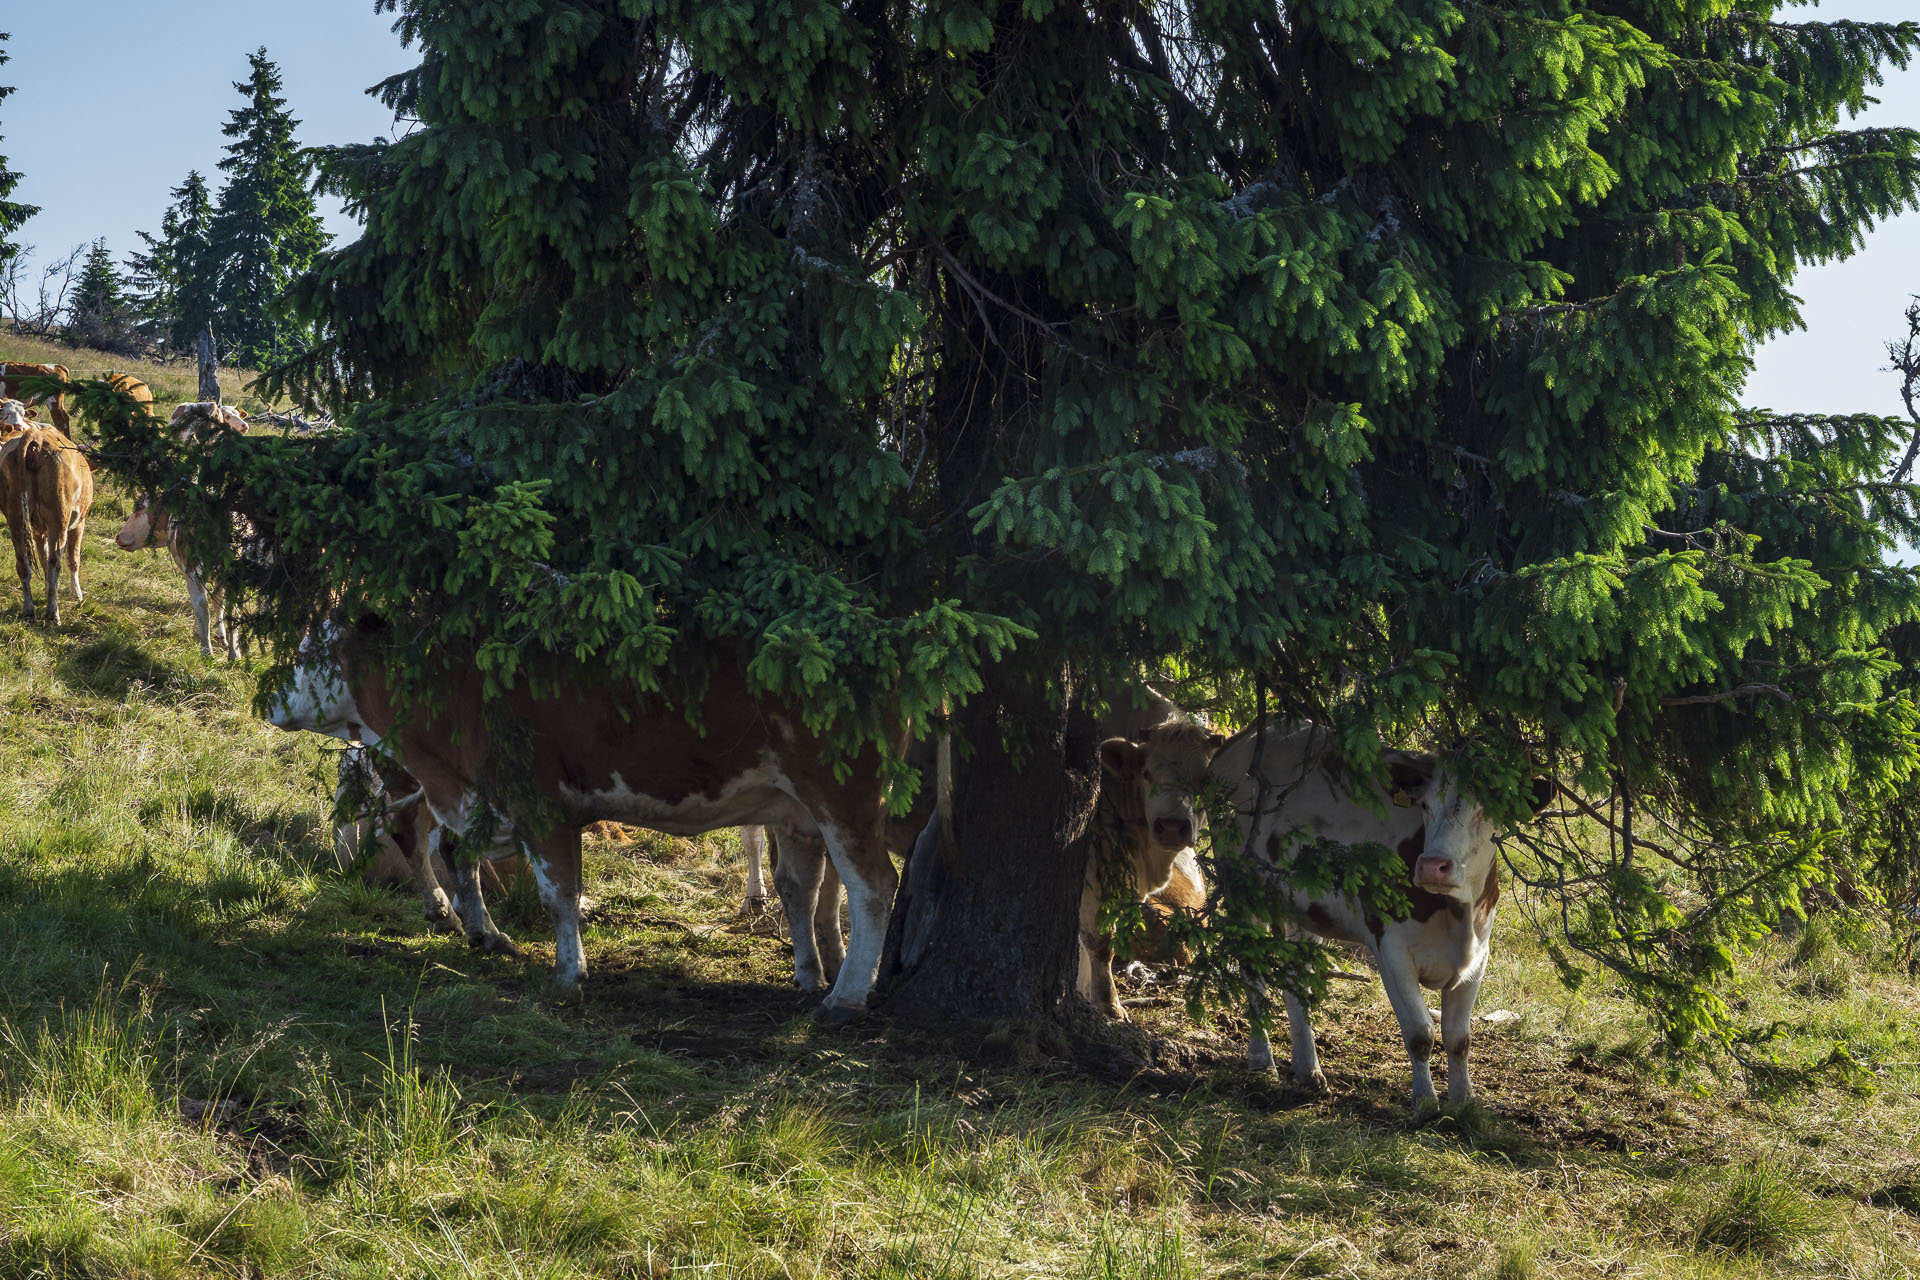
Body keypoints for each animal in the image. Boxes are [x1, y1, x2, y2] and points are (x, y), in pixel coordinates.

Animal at [0, 422, 92, 621]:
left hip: (16, 518)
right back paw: (53, 612)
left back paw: (29, 609)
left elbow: (42, 556)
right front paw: (77, 594)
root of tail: (37, 437)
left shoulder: (38, 530)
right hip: (58, 518)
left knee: (23, 562)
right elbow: (73, 557)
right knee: (54, 562)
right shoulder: (78, 523)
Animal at [270, 621, 898, 1020]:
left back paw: (844, 997)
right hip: (800, 810)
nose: (268, 698)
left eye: (308, 652)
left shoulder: (543, 808)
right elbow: (468, 861)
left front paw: (568, 973)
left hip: (842, 796)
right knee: (808, 886)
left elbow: (558, 895)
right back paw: (812, 976)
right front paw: (487, 935)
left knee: (873, 886)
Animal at [1205, 729, 1551, 1113]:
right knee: (1252, 973)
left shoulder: (1478, 956)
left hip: (1302, 911)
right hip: (1241, 886)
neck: (1454, 917)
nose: (1432, 865)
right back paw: (1261, 1059)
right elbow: (1420, 1034)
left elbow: (1459, 1038)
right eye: (1425, 806)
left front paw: (1464, 1102)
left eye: (1485, 811)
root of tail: (1243, 739)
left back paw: (1308, 1071)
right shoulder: (1390, 949)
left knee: (1296, 985)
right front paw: (1424, 1103)